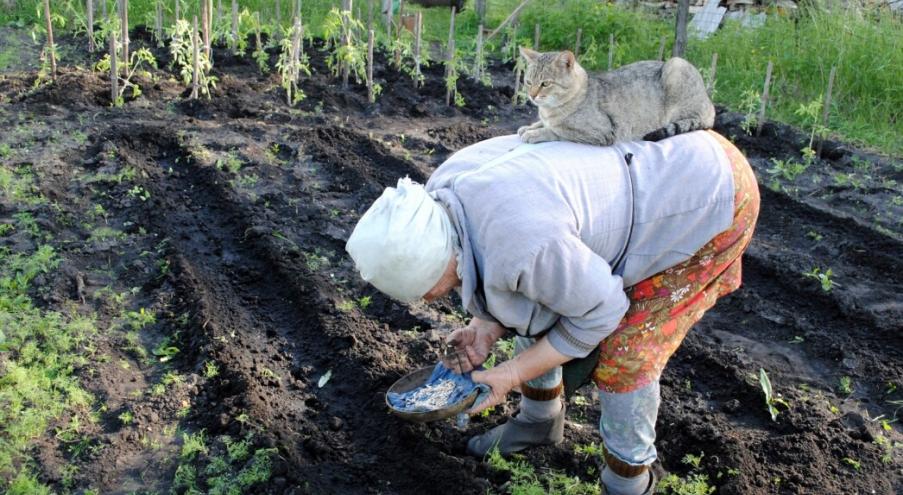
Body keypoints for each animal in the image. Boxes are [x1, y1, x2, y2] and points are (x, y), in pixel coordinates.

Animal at [520, 47, 716, 146]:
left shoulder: (602, 132)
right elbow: (544, 123)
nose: (532, 96)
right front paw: (530, 126)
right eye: (528, 82)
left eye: (545, 84)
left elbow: (559, 130)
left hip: (676, 65)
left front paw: (535, 133)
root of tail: (711, 104)